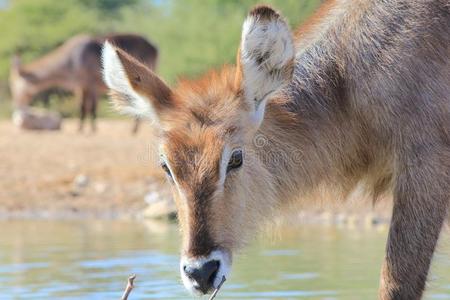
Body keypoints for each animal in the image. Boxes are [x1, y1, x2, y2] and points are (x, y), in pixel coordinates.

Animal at [103, 1, 450, 298]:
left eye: (236, 158)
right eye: (166, 166)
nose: (201, 272)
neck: (345, 81)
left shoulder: (425, 166)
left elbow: (397, 284)